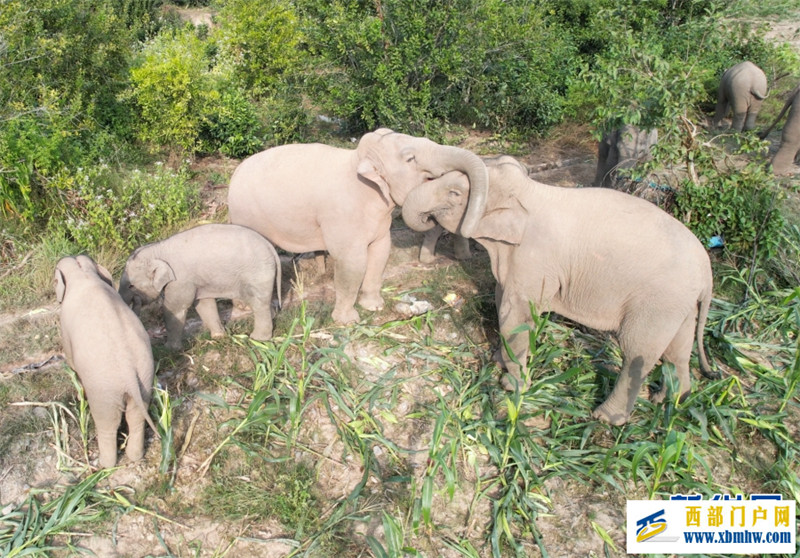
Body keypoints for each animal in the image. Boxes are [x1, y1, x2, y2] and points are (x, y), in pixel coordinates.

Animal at [55, 256, 158, 470]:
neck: (83, 273)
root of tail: (128, 372)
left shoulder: (65, 328)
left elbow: (71, 360)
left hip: (104, 391)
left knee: (108, 423)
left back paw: (105, 464)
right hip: (145, 377)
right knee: (136, 417)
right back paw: (135, 456)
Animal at [117, 223, 282, 350]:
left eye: (131, 285)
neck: (157, 249)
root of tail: (270, 247)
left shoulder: (181, 280)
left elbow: (174, 308)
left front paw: (170, 349)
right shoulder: (195, 281)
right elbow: (204, 304)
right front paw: (218, 337)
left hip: (256, 273)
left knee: (259, 303)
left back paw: (258, 339)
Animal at [225, 129, 488, 326]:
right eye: (410, 158)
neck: (358, 161)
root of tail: (233, 175)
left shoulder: (380, 221)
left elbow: (381, 253)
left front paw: (374, 307)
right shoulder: (342, 216)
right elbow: (352, 264)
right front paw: (348, 321)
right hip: (245, 215)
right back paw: (247, 308)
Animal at [404, 155, 716, 426]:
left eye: (455, 193)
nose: (429, 219)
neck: (530, 191)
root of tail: (707, 271)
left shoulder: (535, 259)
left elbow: (515, 317)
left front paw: (513, 386)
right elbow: (503, 301)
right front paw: (499, 361)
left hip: (658, 301)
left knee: (637, 353)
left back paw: (607, 418)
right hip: (680, 304)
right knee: (678, 350)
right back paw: (670, 399)